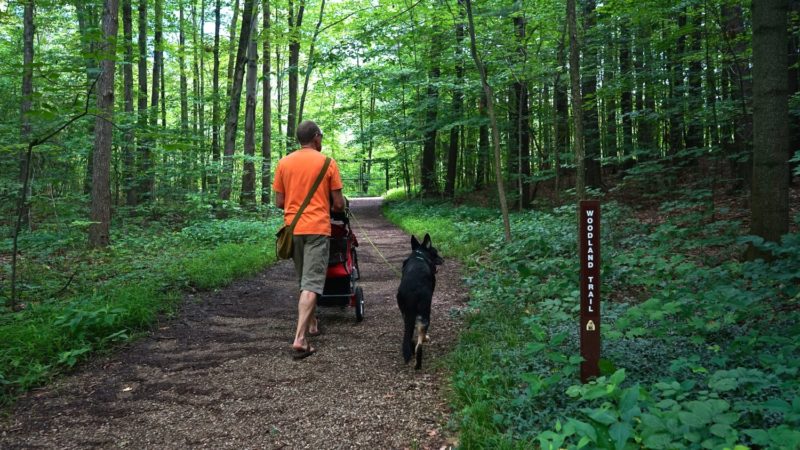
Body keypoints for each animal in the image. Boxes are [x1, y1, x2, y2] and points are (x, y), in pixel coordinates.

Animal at [398, 232, 446, 370]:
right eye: (435, 252)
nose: (443, 259)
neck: (419, 255)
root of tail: (411, 293)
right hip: (425, 314)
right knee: (419, 344)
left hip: (406, 314)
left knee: (409, 337)